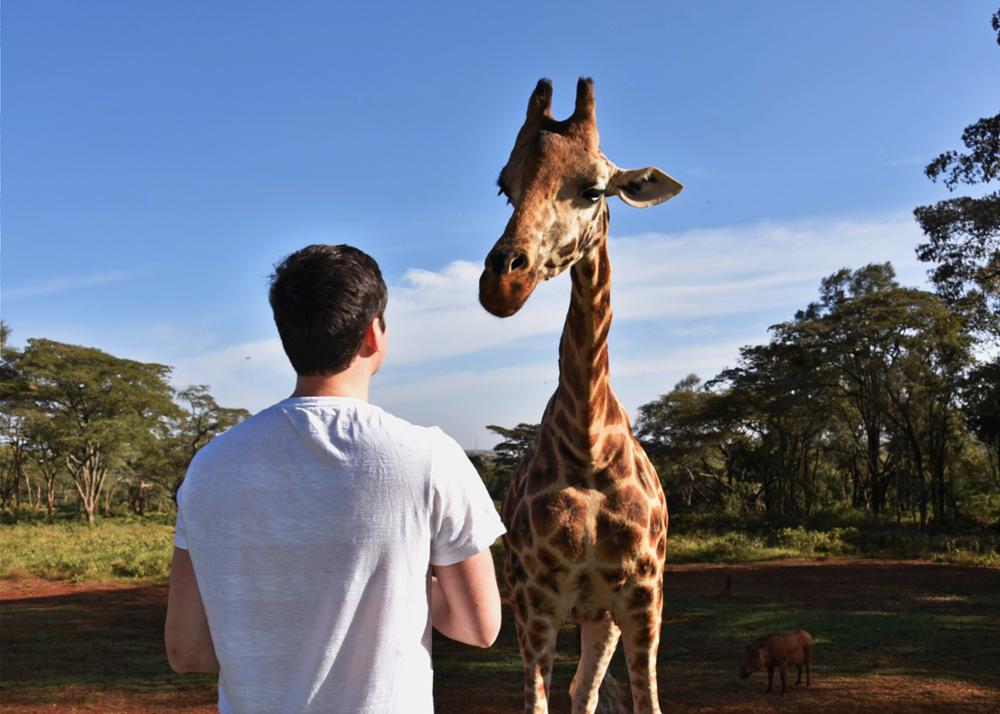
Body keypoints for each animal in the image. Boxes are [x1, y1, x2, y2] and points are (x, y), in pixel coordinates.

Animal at [480, 78, 684, 712]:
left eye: (593, 190)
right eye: (505, 186)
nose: (503, 282)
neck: (589, 446)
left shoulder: (642, 599)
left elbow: (647, 701)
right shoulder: (536, 603)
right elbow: (538, 702)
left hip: (602, 617)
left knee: (585, 689)